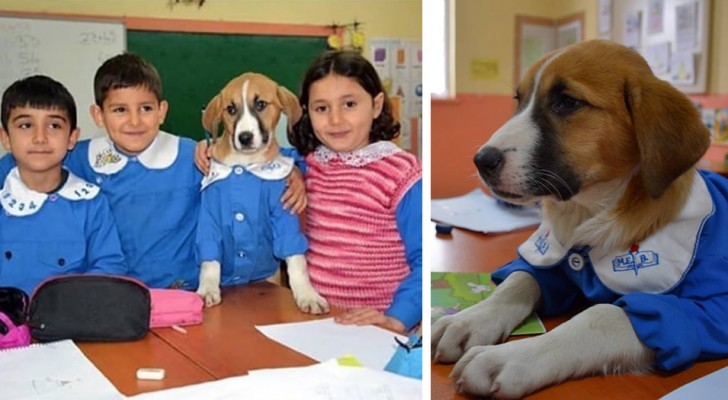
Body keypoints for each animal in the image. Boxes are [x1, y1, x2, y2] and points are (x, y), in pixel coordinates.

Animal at [195, 72, 328, 316]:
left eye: (260, 105)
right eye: (230, 109)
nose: (245, 137)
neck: (245, 165)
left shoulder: (284, 213)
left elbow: (297, 261)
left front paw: (307, 295)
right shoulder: (209, 215)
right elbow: (209, 260)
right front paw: (207, 289)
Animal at [432, 39, 728, 396]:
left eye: (568, 102)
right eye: (519, 101)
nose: (481, 161)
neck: (593, 210)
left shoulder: (710, 308)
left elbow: (603, 314)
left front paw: (512, 357)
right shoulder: (553, 262)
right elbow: (518, 280)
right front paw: (470, 319)